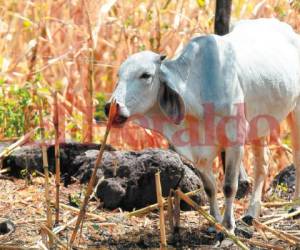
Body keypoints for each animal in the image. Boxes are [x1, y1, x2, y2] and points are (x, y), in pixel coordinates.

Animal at [105, 19, 300, 232]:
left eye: (146, 75)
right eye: (118, 75)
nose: (111, 107)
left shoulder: (235, 139)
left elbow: (229, 186)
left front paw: (228, 227)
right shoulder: (198, 152)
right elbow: (210, 188)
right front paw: (215, 223)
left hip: (296, 113)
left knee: (296, 159)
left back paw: (295, 206)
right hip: (261, 124)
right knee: (262, 164)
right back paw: (251, 213)